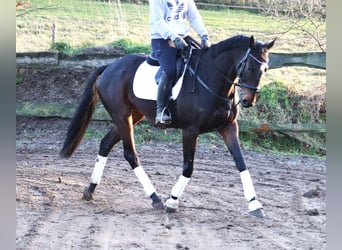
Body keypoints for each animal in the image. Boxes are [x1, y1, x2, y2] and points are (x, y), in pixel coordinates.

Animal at [59, 34, 276, 218]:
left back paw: (90, 189)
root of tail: (110, 66)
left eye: (265, 69)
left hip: (132, 116)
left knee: (106, 143)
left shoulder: (229, 127)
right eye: (249, 67)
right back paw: (155, 198)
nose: (248, 101)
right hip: (122, 116)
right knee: (130, 154)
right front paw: (172, 201)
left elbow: (241, 162)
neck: (213, 80)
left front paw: (255, 204)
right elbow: (188, 167)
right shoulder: (190, 131)